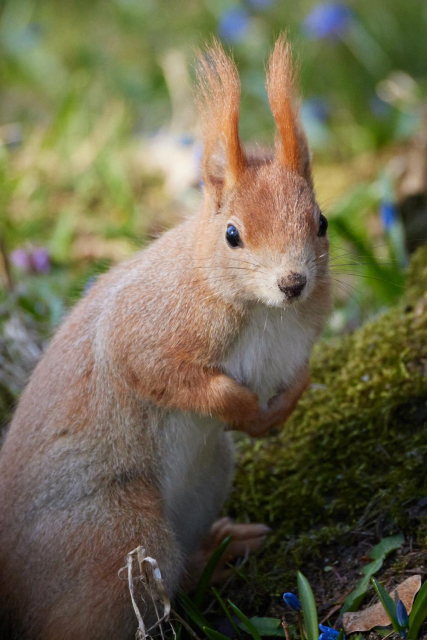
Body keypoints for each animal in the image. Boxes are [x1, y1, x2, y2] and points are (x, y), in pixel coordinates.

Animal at [0, 36, 331, 640]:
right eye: (232, 235)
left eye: (321, 223)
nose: (293, 283)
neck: (264, 312)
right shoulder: (148, 330)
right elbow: (163, 375)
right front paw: (241, 407)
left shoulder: (296, 343)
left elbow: (294, 383)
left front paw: (276, 411)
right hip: (116, 540)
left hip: (209, 472)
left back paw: (223, 546)